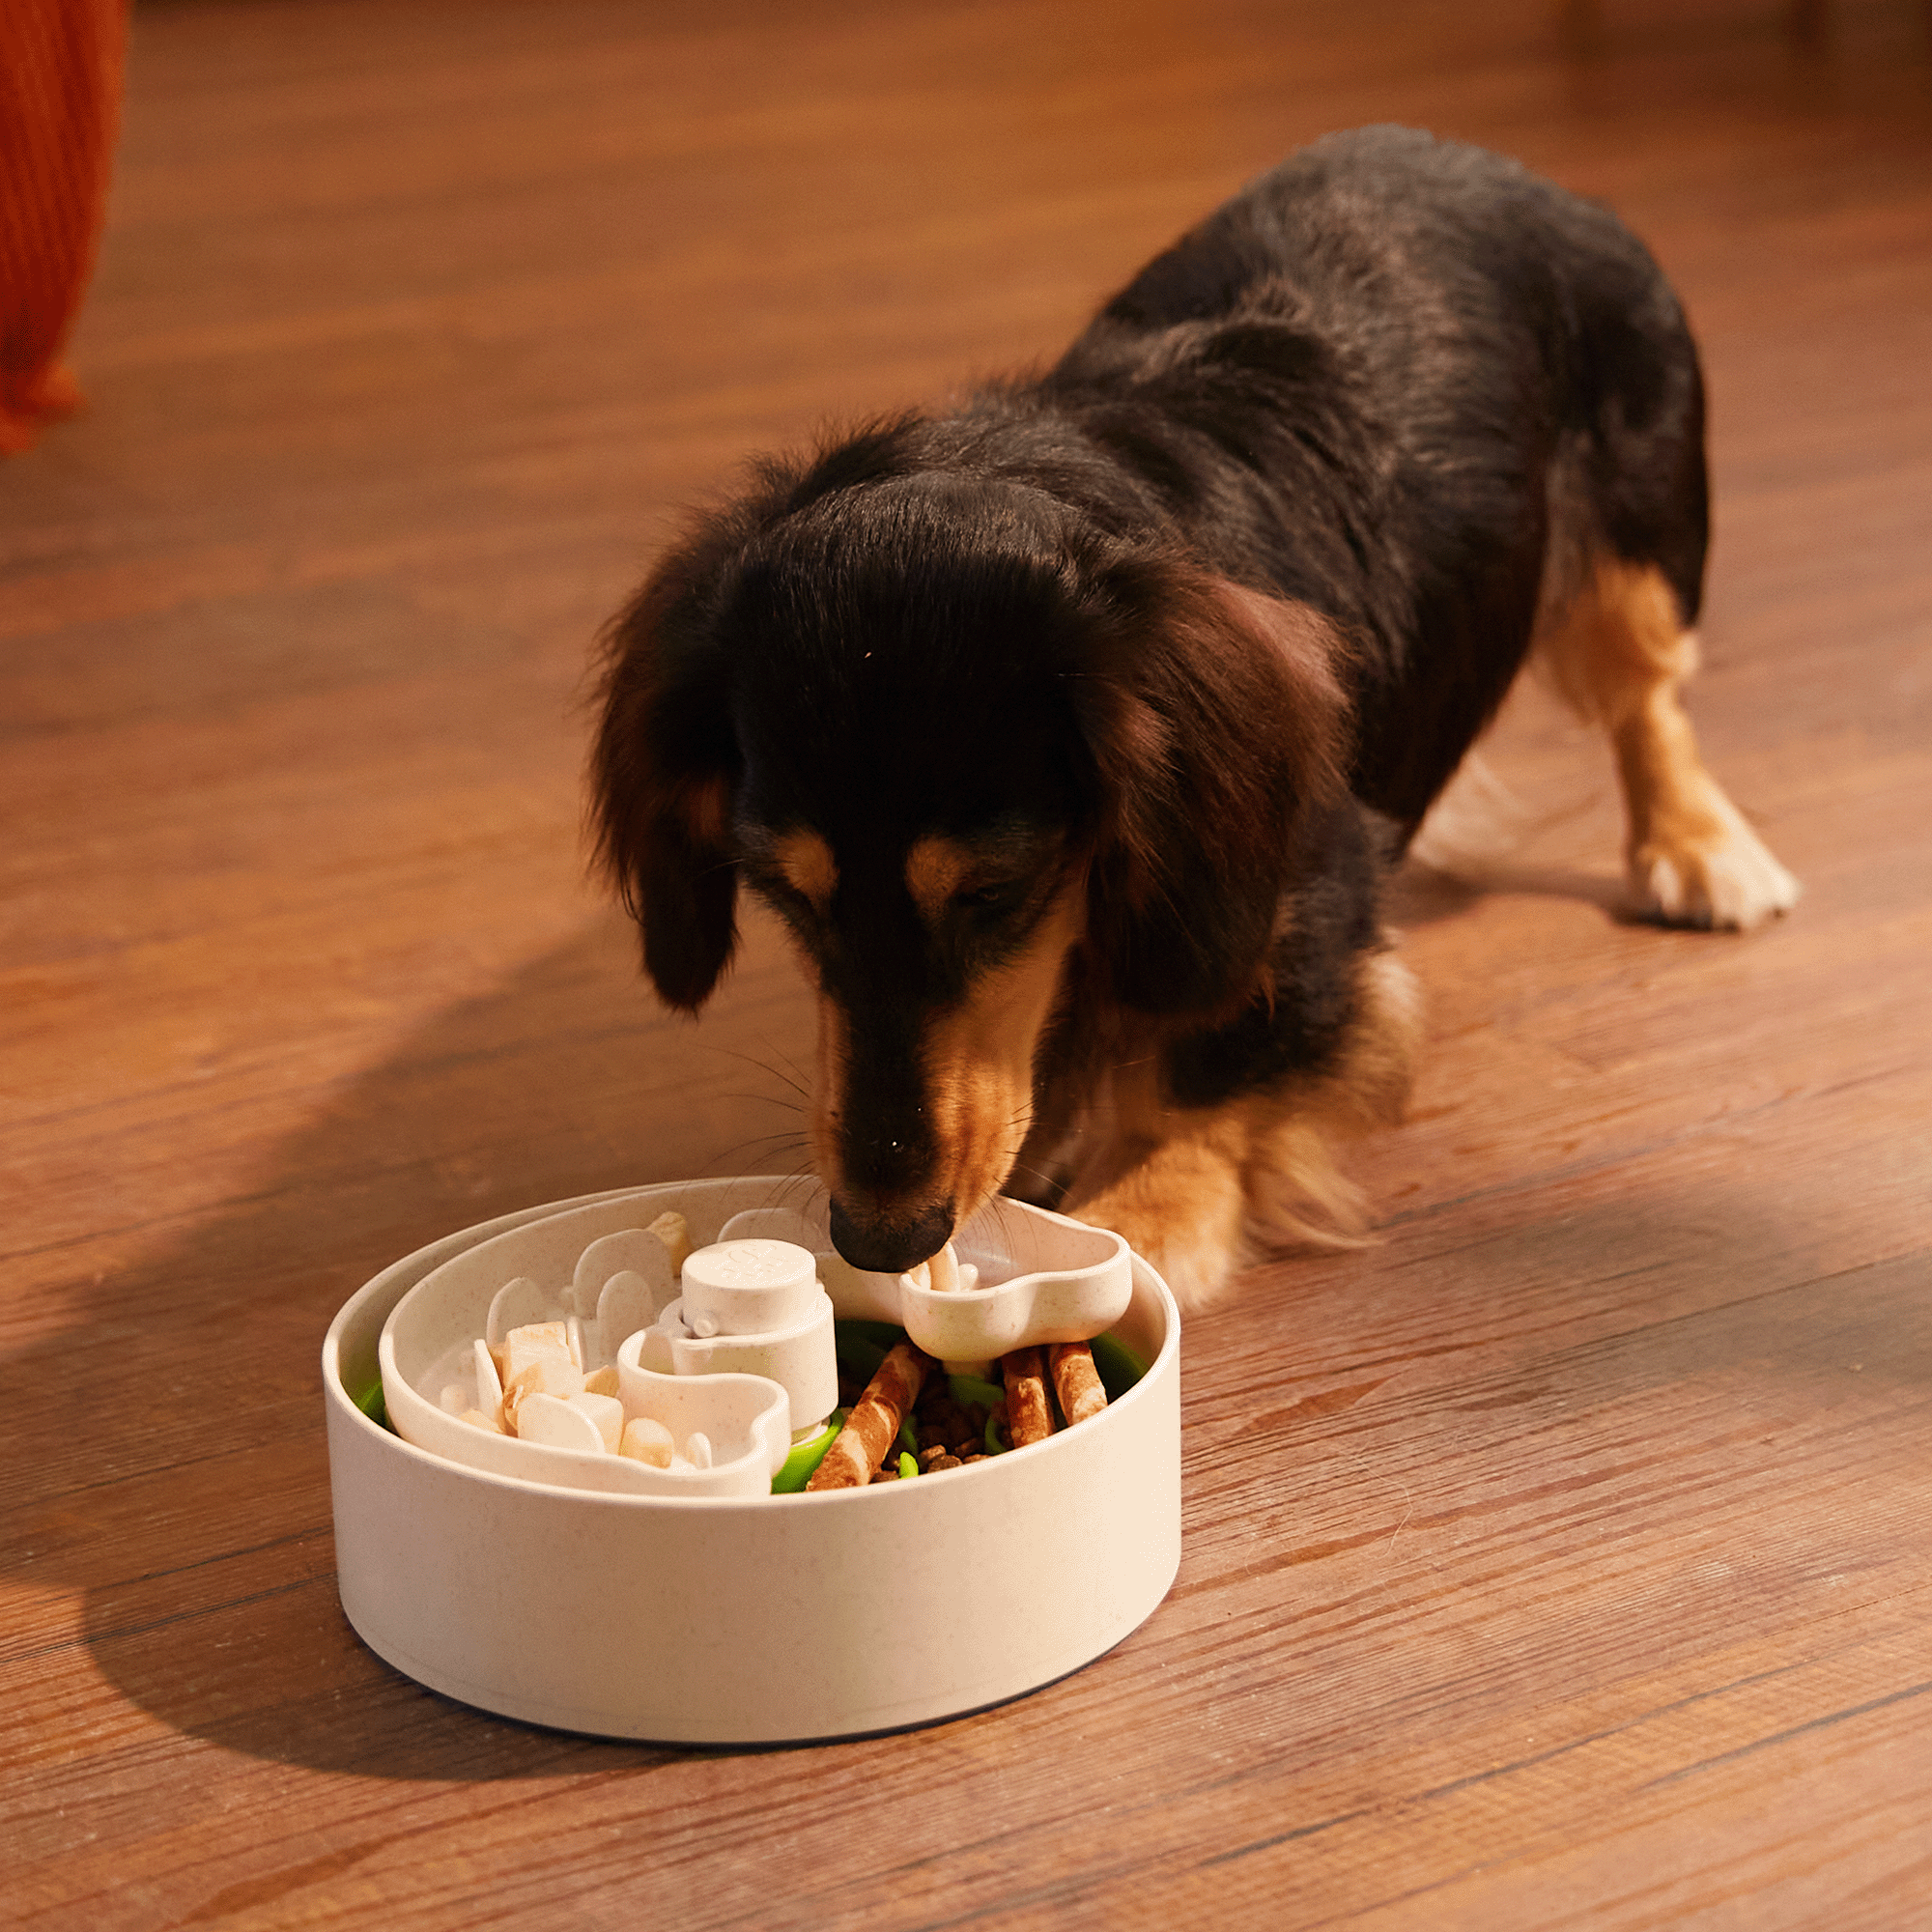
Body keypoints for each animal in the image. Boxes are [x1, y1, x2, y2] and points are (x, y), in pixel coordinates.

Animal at [587, 121, 1793, 1298]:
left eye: (994, 891)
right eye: (784, 893)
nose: (881, 1237)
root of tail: (1486, 159)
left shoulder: (1293, 895)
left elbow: (1211, 1058)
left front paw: (1148, 1210)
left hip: (1637, 545)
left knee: (1646, 695)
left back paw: (1698, 847)